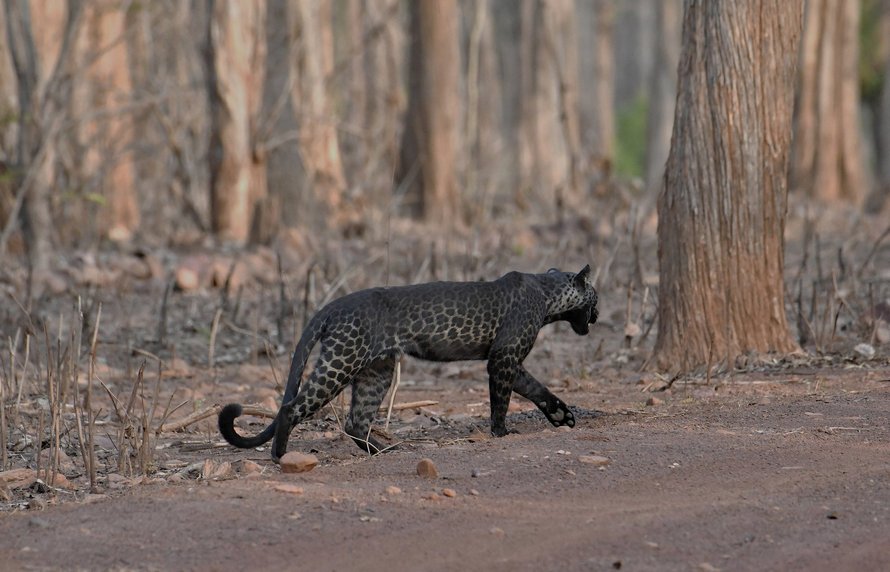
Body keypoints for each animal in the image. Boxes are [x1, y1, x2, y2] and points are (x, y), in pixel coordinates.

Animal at [219, 264, 600, 460]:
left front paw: (562, 416)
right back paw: (280, 456)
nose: (598, 315)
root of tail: (332, 306)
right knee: (293, 407)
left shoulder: (511, 360)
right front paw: (501, 432)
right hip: (342, 360)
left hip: (376, 371)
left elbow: (536, 387)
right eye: (595, 296)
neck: (549, 295)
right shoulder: (503, 356)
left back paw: (384, 450)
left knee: (355, 420)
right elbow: (502, 398)